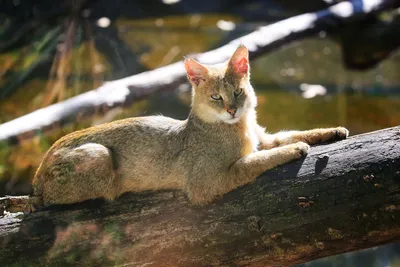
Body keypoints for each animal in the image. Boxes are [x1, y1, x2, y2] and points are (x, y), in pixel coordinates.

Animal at [28, 45, 346, 209]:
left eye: (238, 92)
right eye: (216, 97)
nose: (231, 110)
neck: (240, 127)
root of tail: (37, 176)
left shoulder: (262, 138)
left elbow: (288, 135)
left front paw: (333, 131)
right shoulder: (206, 184)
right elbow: (255, 161)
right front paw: (296, 149)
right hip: (99, 155)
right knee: (48, 201)